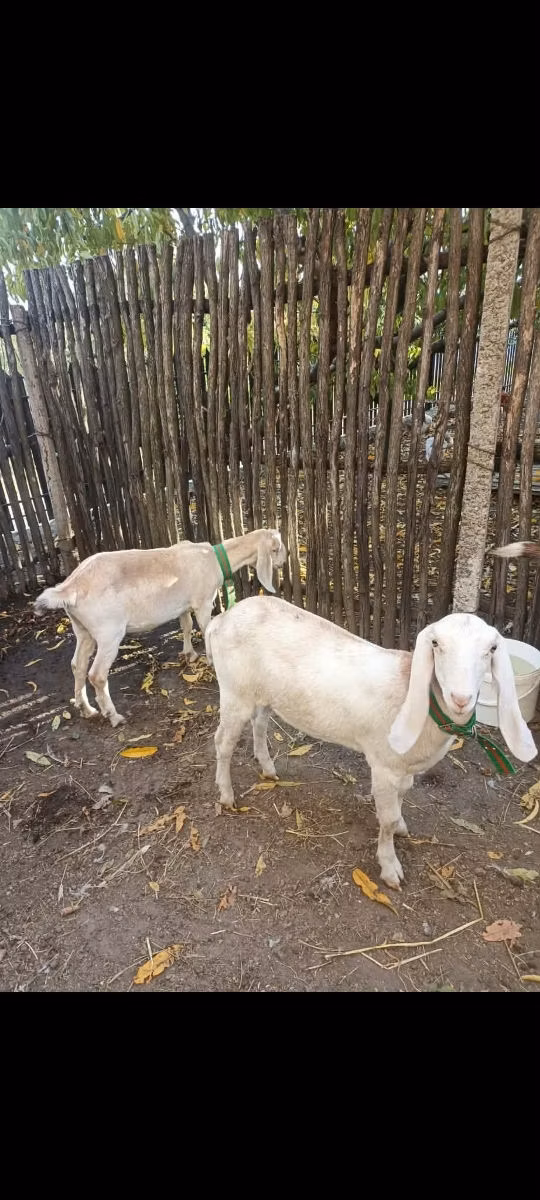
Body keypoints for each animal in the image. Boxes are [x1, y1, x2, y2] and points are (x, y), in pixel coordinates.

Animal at [34, 530, 286, 728]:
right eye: (277, 548)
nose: (285, 560)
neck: (213, 559)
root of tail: (71, 587)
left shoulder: (183, 606)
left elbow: (186, 626)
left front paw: (189, 655)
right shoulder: (203, 602)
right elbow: (205, 628)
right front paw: (210, 661)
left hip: (82, 629)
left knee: (77, 665)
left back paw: (86, 708)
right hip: (108, 632)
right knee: (97, 674)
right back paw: (114, 716)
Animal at [205, 597, 536, 889]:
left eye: (491, 649)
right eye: (436, 644)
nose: (461, 698)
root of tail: (221, 619)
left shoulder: (403, 767)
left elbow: (403, 798)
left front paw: (402, 826)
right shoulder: (384, 765)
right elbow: (386, 819)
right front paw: (390, 868)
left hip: (263, 693)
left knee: (259, 725)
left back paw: (268, 769)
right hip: (234, 692)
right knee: (222, 743)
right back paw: (227, 795)